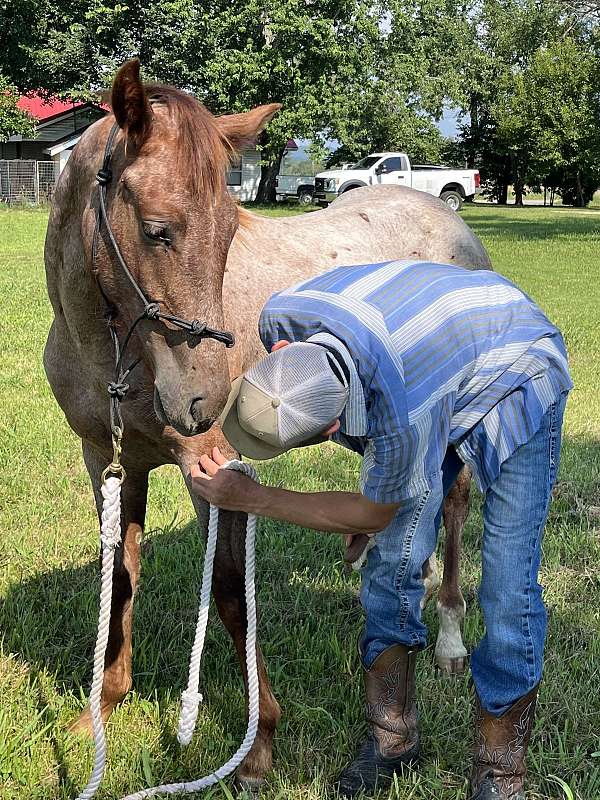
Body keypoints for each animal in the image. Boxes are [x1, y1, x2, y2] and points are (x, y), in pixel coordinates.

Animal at [43, 58, 490, 791]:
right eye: (156, 229)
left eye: (229, 231)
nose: (203, 399)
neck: (114, 354)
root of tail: (450, 220)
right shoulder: (106, 460)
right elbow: (122, 576)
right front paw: (101, 710)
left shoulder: (214, 470)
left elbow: (232, 595)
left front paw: (257, 747)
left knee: (453, 502)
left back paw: (450, 638)